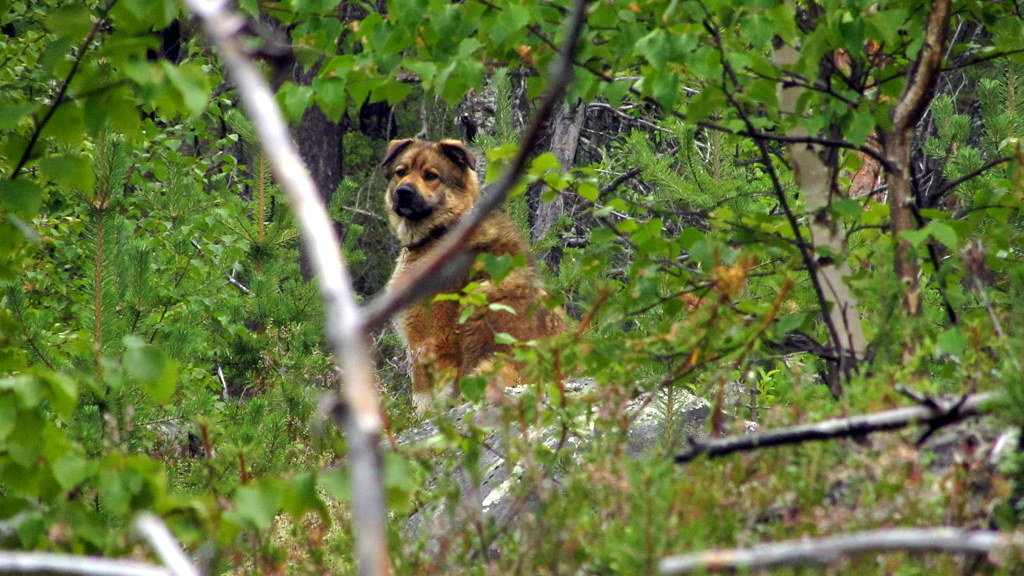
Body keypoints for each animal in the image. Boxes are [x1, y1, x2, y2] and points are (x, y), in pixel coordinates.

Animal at [382, 138, 565, 407]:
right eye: (401, 172)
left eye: (431, 176)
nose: (403, 192)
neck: (443, 230)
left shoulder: (430, 341)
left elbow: (425, 399)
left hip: (489, 369)